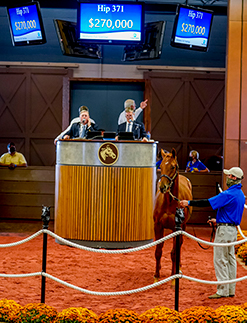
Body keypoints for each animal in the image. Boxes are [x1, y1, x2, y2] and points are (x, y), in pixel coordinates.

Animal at [153, 148, 192, 282]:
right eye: (160, 166)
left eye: (173, 166)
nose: (162, 187)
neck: (169, 202)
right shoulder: (158, 226)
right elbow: (158, 251)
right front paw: (156, 276)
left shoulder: (177, 229)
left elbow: (174, 253)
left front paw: (173, 277)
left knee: (178, 247)